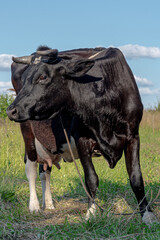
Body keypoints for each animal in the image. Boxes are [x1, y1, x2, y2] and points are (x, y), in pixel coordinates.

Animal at [6, 46, 157, 223]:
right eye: (25, 79)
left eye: (43, 77)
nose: (11, 110)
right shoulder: (82, 140)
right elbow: (91, 178)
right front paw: (91, 213)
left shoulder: (133, 136)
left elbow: (136, 178)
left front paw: (147, 214)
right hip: (27, 131)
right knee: (31, 168)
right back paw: (34, 206)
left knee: (45, 171)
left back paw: (48, 204)